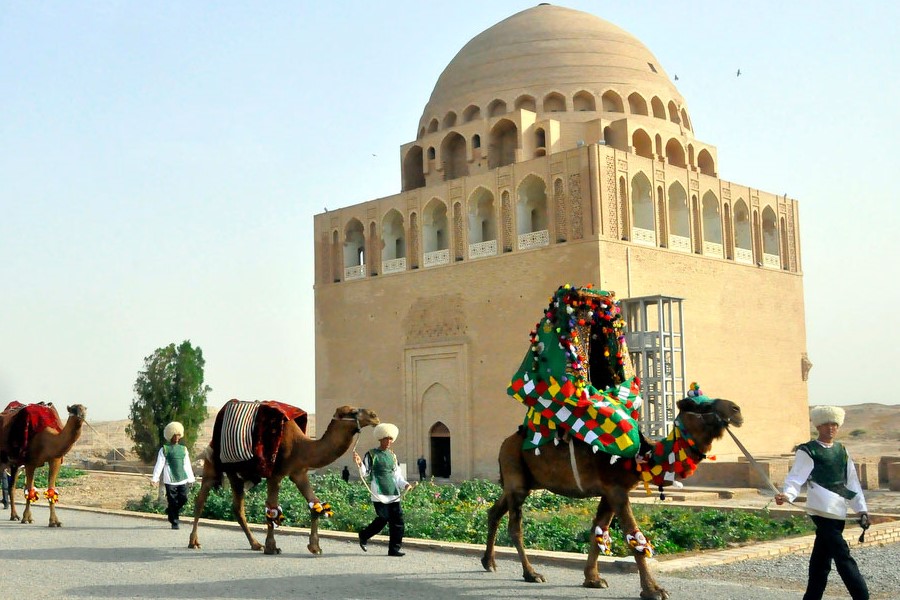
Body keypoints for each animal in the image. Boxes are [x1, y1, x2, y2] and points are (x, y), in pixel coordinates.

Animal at [0, 400, 88, 528]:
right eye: (73, 409)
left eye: (84, 408)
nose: (82, 415)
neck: (47, 440)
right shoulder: (30, 462)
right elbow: (29, 489)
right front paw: (26, 519)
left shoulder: (55, 460)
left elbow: (51, 489)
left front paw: (54, 522)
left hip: (14, 463)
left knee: (12, 487)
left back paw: (14, 516)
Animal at [190, 400, 380, 556]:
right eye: (353, 412)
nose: (375, 416)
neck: (300, 446)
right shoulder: (275, 473)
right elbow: (272, 509)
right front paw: (271, 547)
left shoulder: (299, 472)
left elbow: (315, 505)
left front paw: (315, 547)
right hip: (215, 462)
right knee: (201, 499)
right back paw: (194, 542)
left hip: (236, 473)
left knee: (237, 507)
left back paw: (255, 544)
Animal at [482, 394, 740, 600]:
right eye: (699, 405)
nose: (736, 409)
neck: (642, 455)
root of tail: (505, 442)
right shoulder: (616, 489)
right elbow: (634, 537)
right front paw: (654, 591)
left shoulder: (608, 492)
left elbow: (598, 530)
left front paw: (593, 579)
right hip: (515, 471)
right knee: (515, 527)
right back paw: (531, 573)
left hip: (523, 480)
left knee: (494, 511)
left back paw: (489, 562)